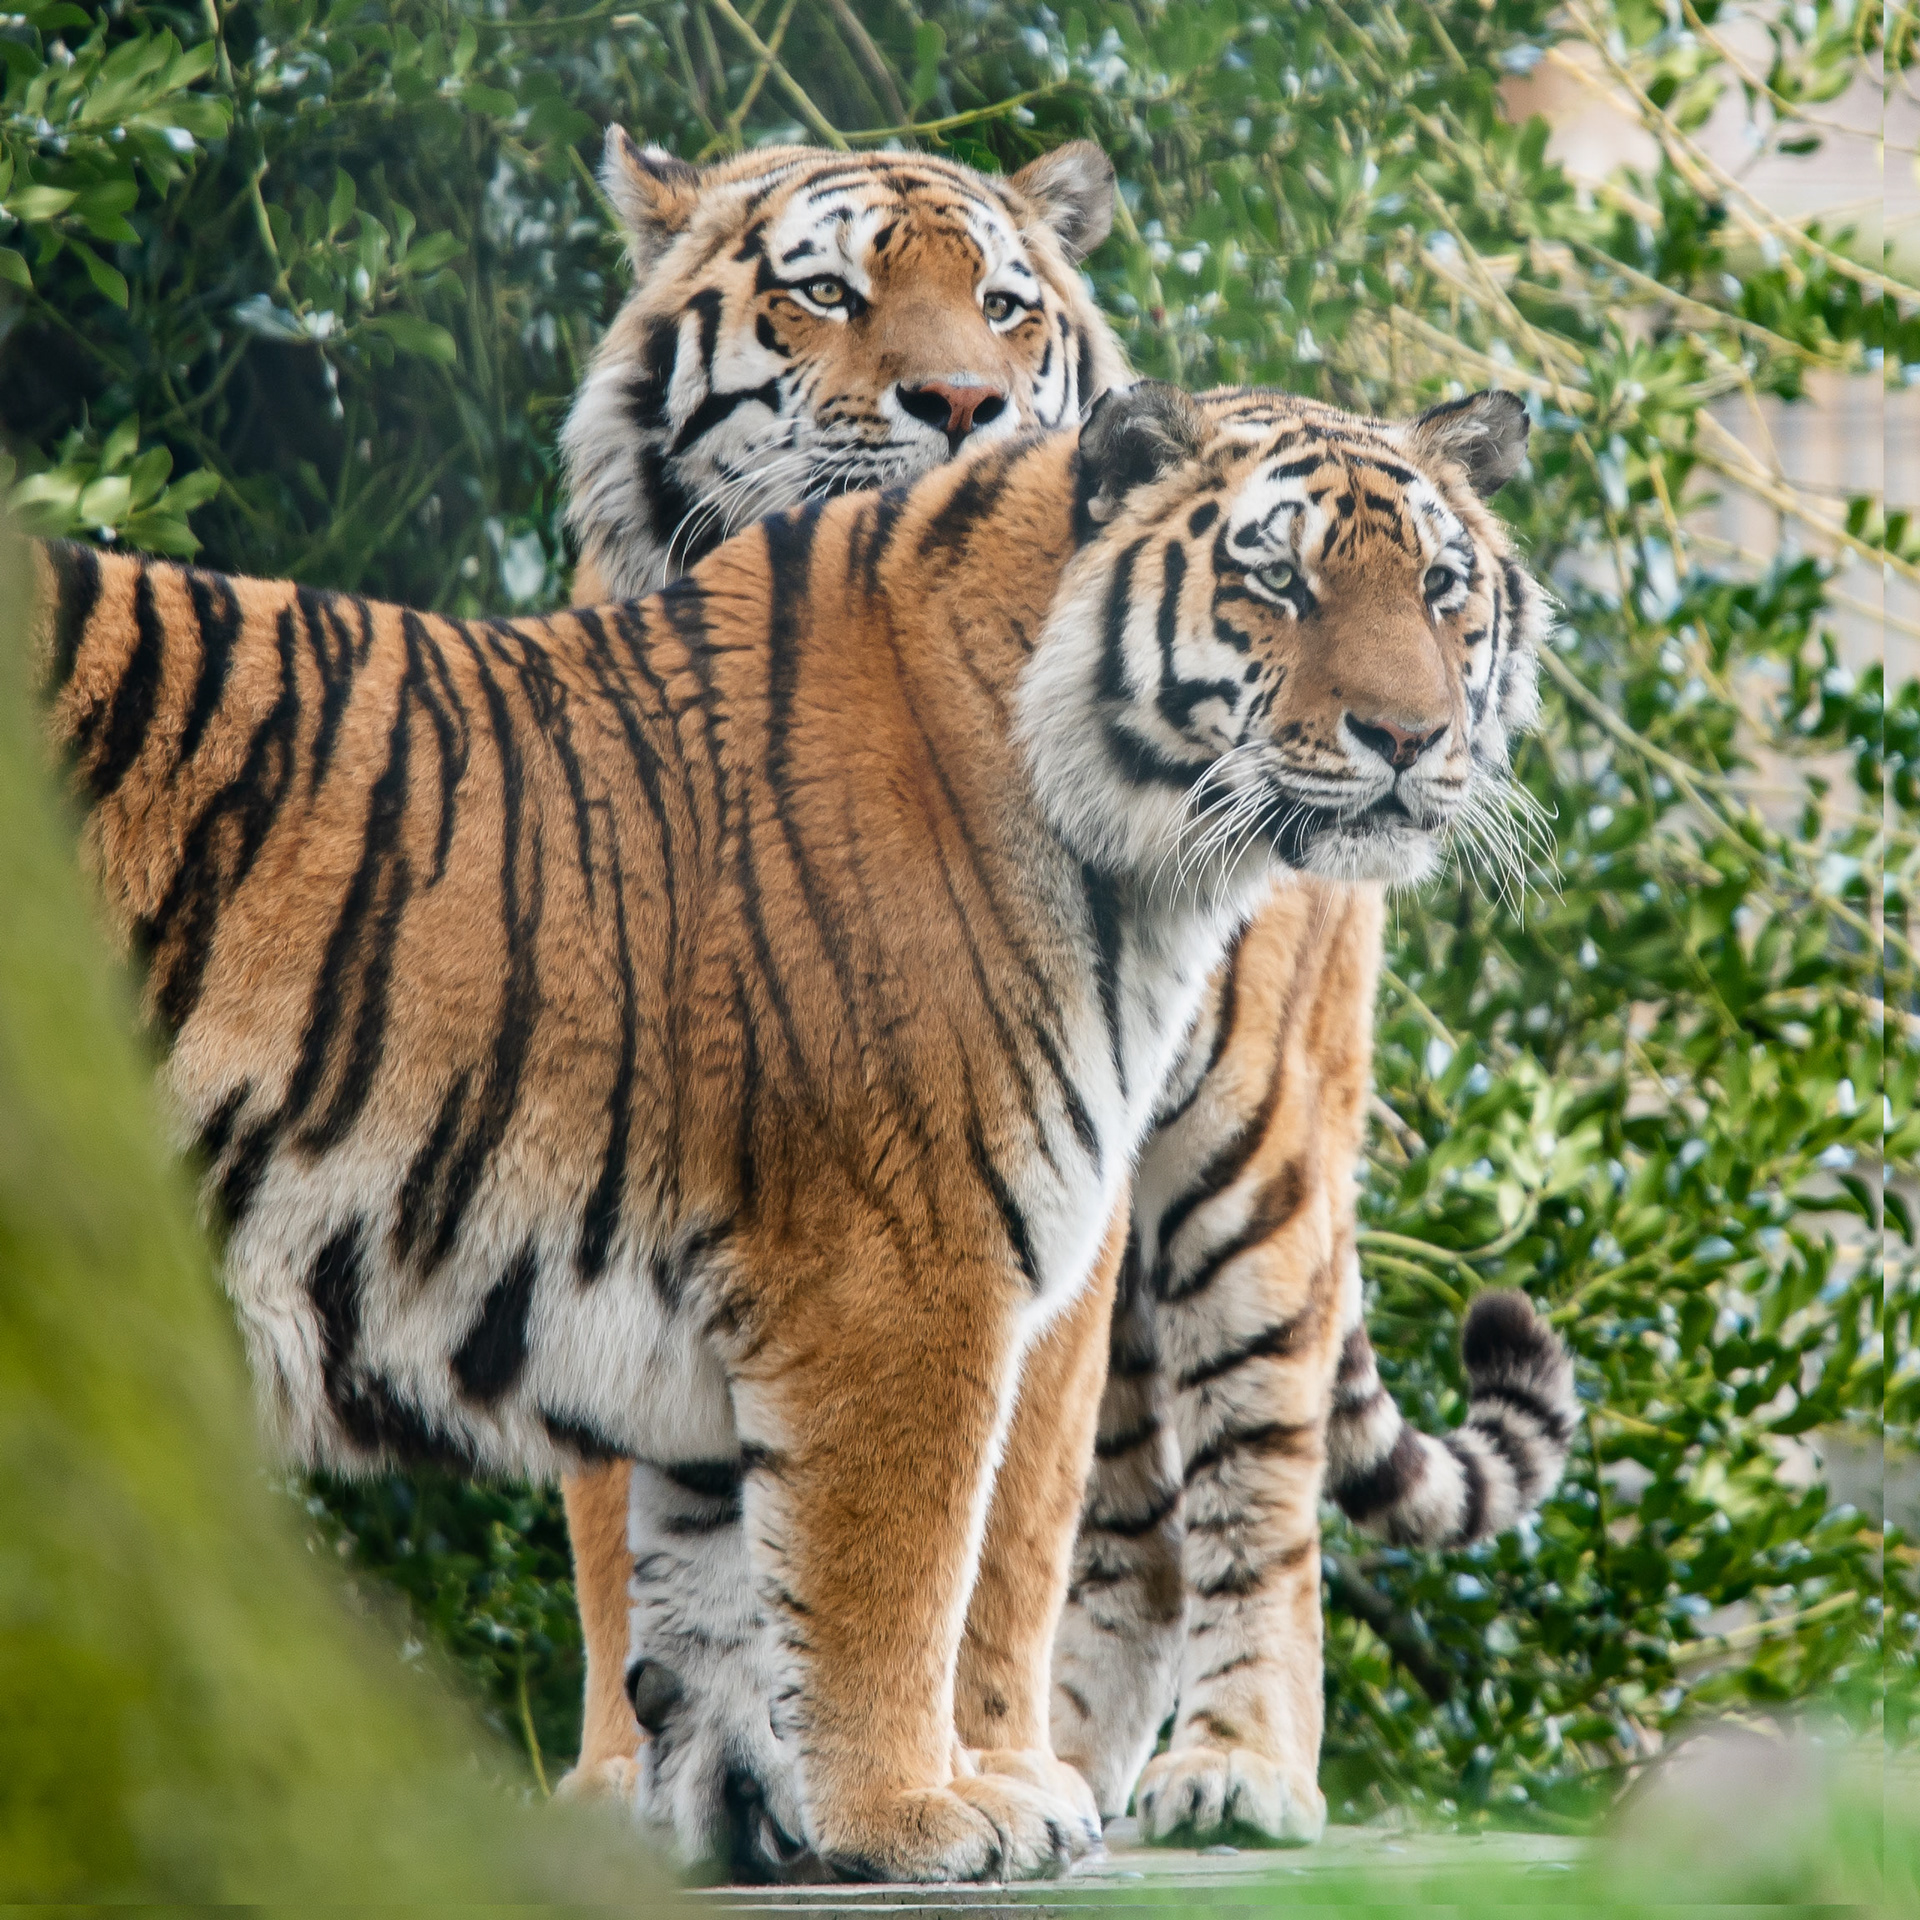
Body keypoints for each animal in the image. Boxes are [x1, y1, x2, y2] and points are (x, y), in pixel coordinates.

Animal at [31, 377, 1567, 1882]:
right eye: (1276, 581)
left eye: (1440, 587)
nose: (1410, 740)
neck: (1141, 864)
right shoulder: (896, 1269)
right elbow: (885, 1573)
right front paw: (913, 1811)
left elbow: (725, 1596)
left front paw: (752, 1815)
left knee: (1240, 1482)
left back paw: (1222, 1775)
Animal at [551, 130, 1579, 1866]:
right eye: (825, 291)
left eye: (1005, 308)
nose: (960, 403)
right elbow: (620, 1510)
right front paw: (633, 1781)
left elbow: (998, 1521)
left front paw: (966, 1767)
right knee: (1150, 1537)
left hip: (1247, 1162)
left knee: (1253, 1494)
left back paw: (1230, 1769)